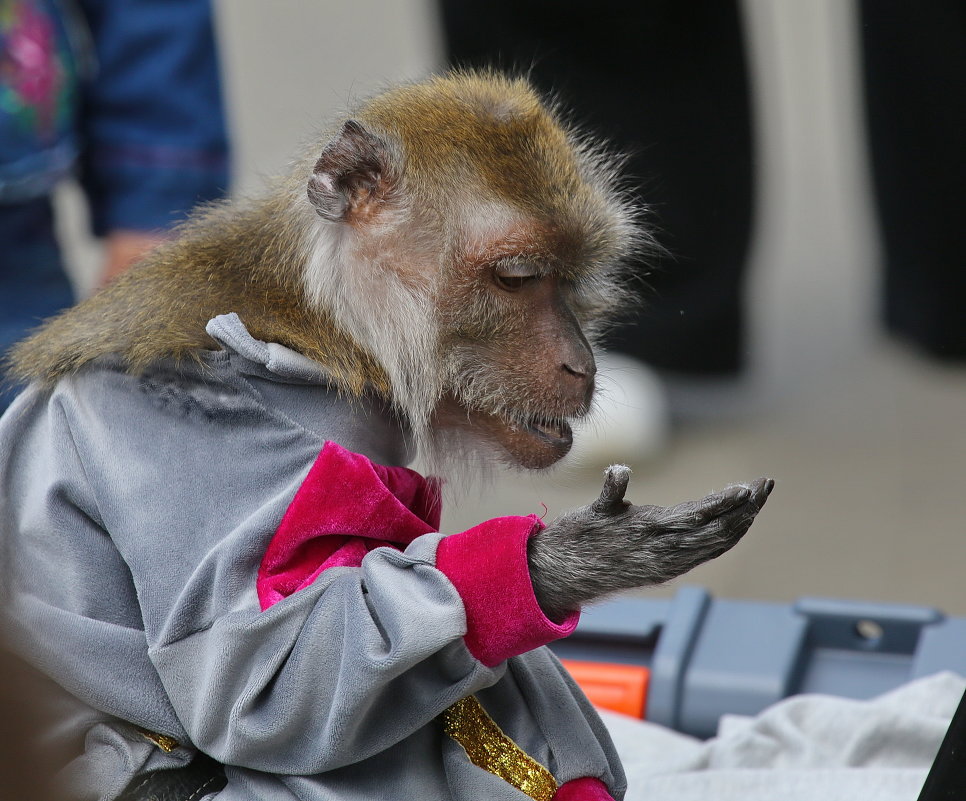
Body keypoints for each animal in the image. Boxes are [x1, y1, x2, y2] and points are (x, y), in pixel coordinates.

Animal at [0, 70, 772, 800]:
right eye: (518, 277)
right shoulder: (196, 445)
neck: (316, 328)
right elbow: (266, 678)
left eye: (570, 279)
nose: (580, 363)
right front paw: (580, 556)